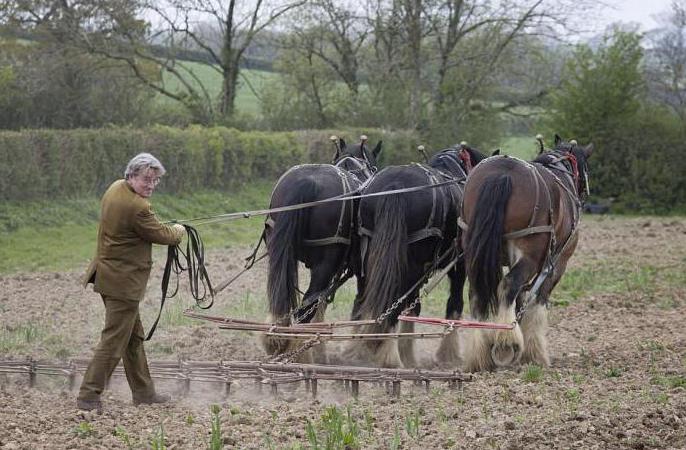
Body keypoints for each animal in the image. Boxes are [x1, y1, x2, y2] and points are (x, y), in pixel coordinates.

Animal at [264, 136, 384, 362]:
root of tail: (307, 182)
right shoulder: (362, 268)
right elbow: (360, 303)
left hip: (281, 254)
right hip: (326, 262)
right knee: (305, 308)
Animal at [350, 142, 494, 368]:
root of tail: (395, 185)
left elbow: (413, 306)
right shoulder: (458, 264)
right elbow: (454, 302)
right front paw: (446, 353)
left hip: (372, 253)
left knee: (365, 297)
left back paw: (364, 345)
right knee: (395, 302)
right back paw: (390, 355)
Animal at [462, 134, 596, 372]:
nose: (583, 198)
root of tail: (502, 173)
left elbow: (521, 298)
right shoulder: (556, 264)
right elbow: (537, 300)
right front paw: (535, 353)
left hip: (473, 251)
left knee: (477, 293)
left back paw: (479, 354)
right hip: (531, 255)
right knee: (508, 285)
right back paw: (507, 342)